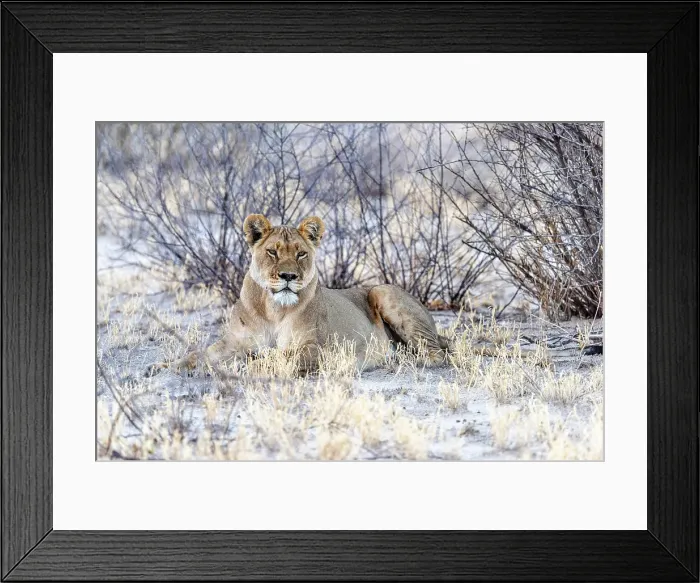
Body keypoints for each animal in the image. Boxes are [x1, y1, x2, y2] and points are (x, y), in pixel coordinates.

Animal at [155, 214, 449, 375]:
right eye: (272, 252)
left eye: (301, 254)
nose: (288, 276)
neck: (273, 309)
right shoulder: (233, 343)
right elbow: (198, 355)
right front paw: (163, 367)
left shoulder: (314, 349)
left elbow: (277, 358)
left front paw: (247, 366)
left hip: (383, 291)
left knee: (435, 355)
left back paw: (397, 359)